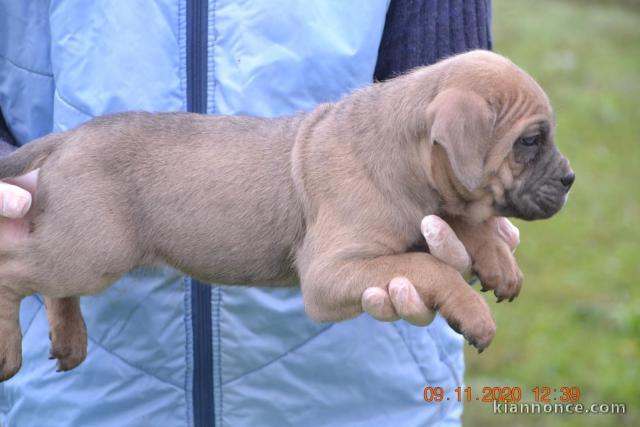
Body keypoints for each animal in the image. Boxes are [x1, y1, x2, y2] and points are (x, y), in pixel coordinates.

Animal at [0, 51, 576, 382]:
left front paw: (497, 259)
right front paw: (474, 313)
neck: (402, 158)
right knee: (14, 271)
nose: (571, 179)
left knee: (52, 286)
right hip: (93, 251)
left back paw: (69, 338)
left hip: (77, 248)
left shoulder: (432, 209)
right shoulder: (329, 275)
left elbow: (462, 222)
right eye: (529, 141)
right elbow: (429, 266)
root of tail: (67, 138)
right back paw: (9, 350)